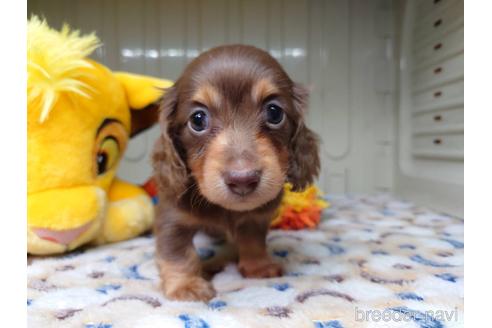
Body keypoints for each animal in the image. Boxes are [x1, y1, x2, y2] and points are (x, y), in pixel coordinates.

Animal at [152, 44, 320, 302]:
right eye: (198, 119)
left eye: (274, 113)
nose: (243, 180)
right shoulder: (172, 218)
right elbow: (178, 253)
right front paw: (186, 285)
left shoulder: (257, 216)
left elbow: (253, 239)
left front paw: (258, 266)